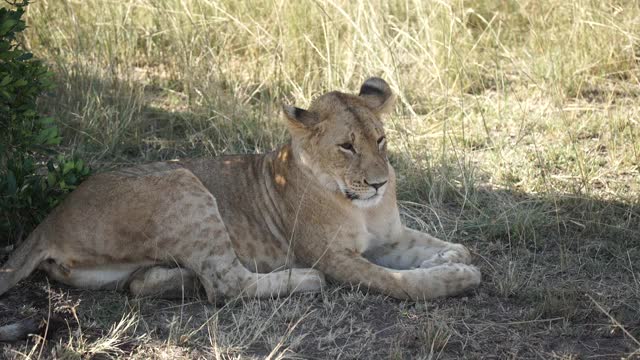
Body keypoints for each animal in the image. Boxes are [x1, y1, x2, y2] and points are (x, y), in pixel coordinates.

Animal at [0, 78, 480, 324]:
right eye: (346, 146)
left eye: (380, 140)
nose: (379, 183)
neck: (362, 204)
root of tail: (48, 220)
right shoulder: (333, 256)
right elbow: (396, 282)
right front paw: (456, 278)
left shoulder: (390, 237)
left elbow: (450, 246)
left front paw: (449, 258)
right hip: (184, 184)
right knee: (225, 286)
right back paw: (302, 281)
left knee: (146, 285)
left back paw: (180, 280)